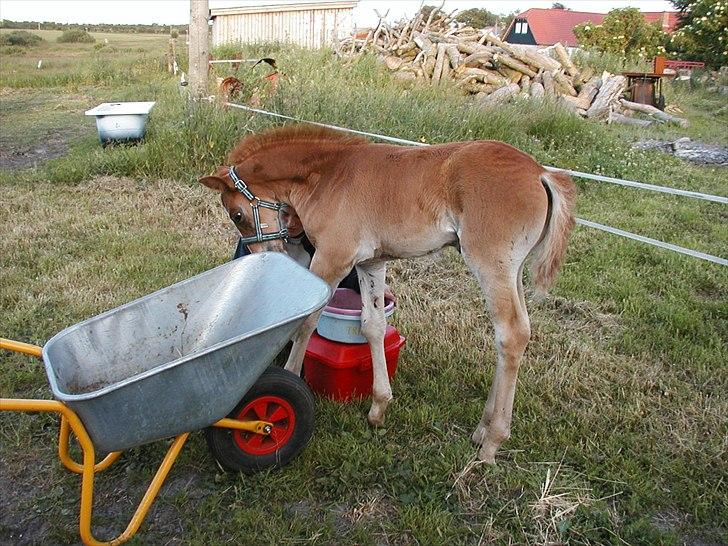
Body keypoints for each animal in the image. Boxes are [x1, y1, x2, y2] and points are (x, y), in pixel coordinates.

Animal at [199, 123, 576, 460]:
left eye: (237, 215)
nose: (268, 256)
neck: (328, 176)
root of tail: (540, 172)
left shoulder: (332, 258)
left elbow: (305, 323)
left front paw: (287, 381)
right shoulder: (371, 264)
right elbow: (373, 326)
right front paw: (378, 407)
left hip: (490, 265)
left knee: (511, 334)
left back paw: (492, 442)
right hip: (512, 271)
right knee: (516, 333)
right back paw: (482, 429)